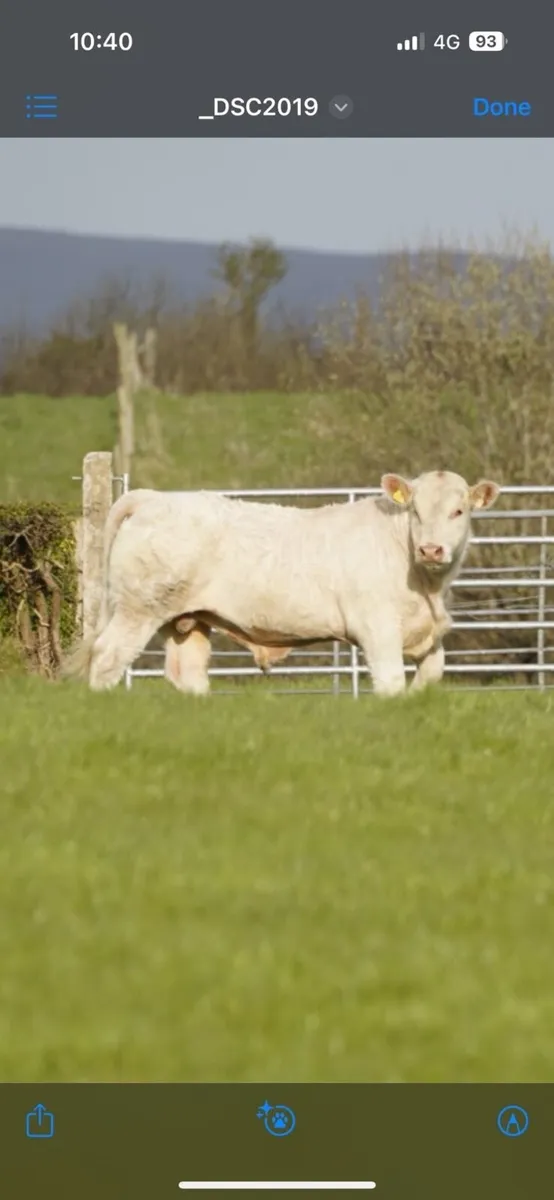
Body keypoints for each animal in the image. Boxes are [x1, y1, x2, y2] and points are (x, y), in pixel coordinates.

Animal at [63, 471, 500, 697]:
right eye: (415, 510)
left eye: (459, 511)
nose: (431, 549)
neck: (426, 586)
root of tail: (154, 499)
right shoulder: (377, 629)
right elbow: (391, 681)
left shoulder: (429, 637)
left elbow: (429, 679)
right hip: (138, 609)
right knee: (108, 656)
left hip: (186, 619)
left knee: (186, 672)